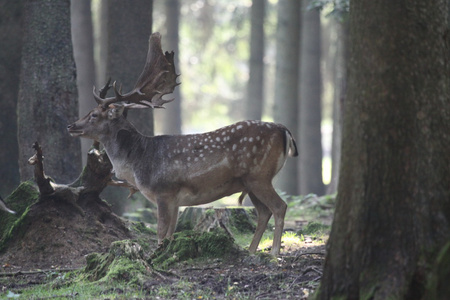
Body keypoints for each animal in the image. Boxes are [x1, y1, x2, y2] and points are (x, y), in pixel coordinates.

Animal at [67, 32, 298, 254]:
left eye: (94, 115)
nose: (71, 126)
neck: (138, 163)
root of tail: (283, 129)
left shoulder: (164, 190)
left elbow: (161, 232)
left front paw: (155, 256)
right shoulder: (176, 200)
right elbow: (171, 233)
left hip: (259, 175)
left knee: (279, 207)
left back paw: (274, 253)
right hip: (250, 182)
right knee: (264, 212)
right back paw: (251, 251)